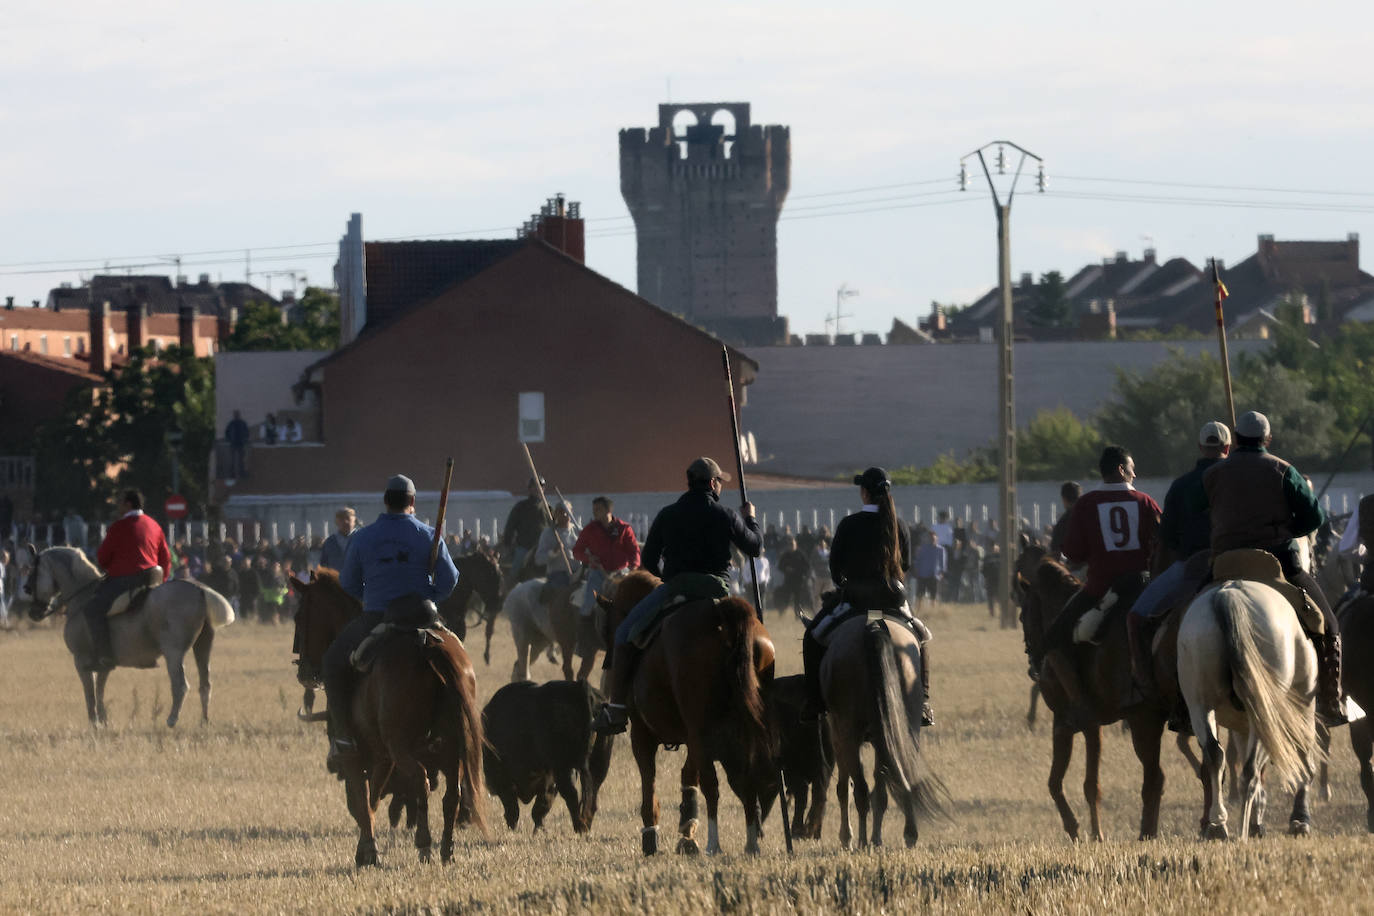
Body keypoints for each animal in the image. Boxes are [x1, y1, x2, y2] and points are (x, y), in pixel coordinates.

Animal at [26, 543, 236, 730]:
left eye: (32, 573)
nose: (34, 612)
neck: (83, 597)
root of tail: (200, 590)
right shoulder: (104, 665)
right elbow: (100, 691)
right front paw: (104, 722)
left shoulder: (81, 662)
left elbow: (90, 695)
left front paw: (94, 724)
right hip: (203, 647)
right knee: (205, 685)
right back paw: (204, 722)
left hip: (174, 653)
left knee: (181, 685)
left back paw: (172, 719)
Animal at [289, 574, 489, 867]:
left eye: (299, 615)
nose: (303, 671)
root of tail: (427, 644)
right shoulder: (383, 758)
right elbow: (371, 799)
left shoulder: (357, 757)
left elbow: (359, 800)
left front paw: (367, 851)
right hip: (451, 751)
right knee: (453, 793)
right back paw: (446, 850)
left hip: (401, 747)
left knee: (420, 780)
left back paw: (424, 844)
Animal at [604, 568, 785, 856]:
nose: (607, 661)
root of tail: (720, 613)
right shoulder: (692, 736)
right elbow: (689, 776)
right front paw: (686, 830)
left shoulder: (643, 735)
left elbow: (649, 782)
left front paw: (651, 837)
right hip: (737, 730)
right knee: (746, 780)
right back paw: (750, 843)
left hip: (700, 729)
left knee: (713, 785)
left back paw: (714, 843)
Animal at [813, 612, 945, 851]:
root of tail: (873, 627)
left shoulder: (839, 735)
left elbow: (845, 787)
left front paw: (847, 837)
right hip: (901, 727)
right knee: (894, 779)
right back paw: (903, 835)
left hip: (849, 731)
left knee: (860, 790)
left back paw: (862, 841)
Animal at [1181, 579, 1319, 840]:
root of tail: (1229, 595)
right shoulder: (1297, 711)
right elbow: (1301, 760)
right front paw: (1298, 820)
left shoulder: (1240, 724)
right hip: (1267, 711)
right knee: (1251, 771)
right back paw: (1243, 832)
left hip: (1199, 705)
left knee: (1215, 756)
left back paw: (1218, 824)